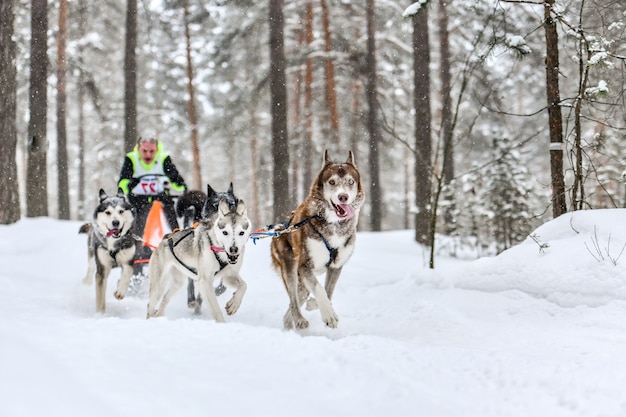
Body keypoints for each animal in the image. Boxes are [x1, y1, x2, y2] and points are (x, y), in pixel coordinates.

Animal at [270, 150, 366, 328]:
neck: (334, 224)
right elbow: (320, 289)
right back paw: (299, 319)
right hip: (291, 268)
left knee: (291, 309)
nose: (343, 197)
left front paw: (315, 304)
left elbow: (328, 292)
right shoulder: (305, 265)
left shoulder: (336, 266)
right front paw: (329, 314)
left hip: (303, 284)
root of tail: (278, 229)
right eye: (332, 182)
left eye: (350, 181)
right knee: (293, 301)